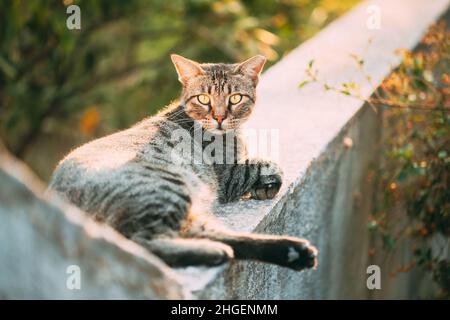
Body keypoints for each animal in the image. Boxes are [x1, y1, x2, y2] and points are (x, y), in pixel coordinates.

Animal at [48, 54, 316, 270]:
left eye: (236, 98)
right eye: (204, 98)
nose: (219, 117)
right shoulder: (230, 176)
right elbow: (269, 165)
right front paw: (267, 184)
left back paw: (292, 252)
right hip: (165, 189)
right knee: (144, 244)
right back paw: (216, 253)